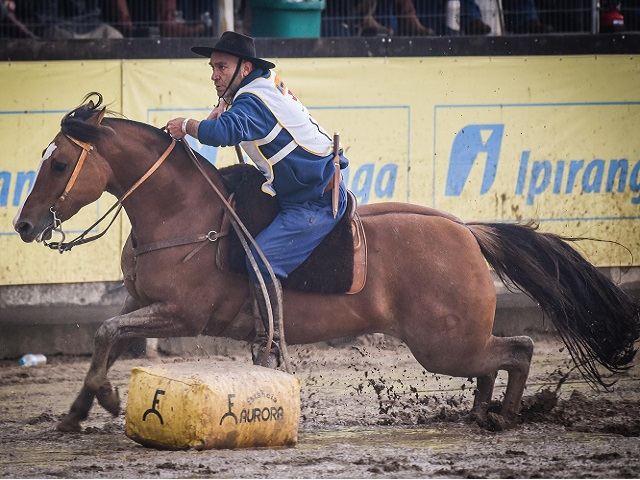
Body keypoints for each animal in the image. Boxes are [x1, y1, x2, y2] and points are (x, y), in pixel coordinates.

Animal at [14, 93, 640, 433]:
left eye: (59, 162)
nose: (24, 226)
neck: (185, 214)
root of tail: (465, 231)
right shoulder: (141, 303)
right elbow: (107, 335)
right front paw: (81, 407)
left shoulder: (182, 315)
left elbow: (106, 331)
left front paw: (103, 401)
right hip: (455, 343)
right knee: (496, 362)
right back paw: (481, 413)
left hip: (445, 344)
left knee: (519, 349)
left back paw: (504, 416)